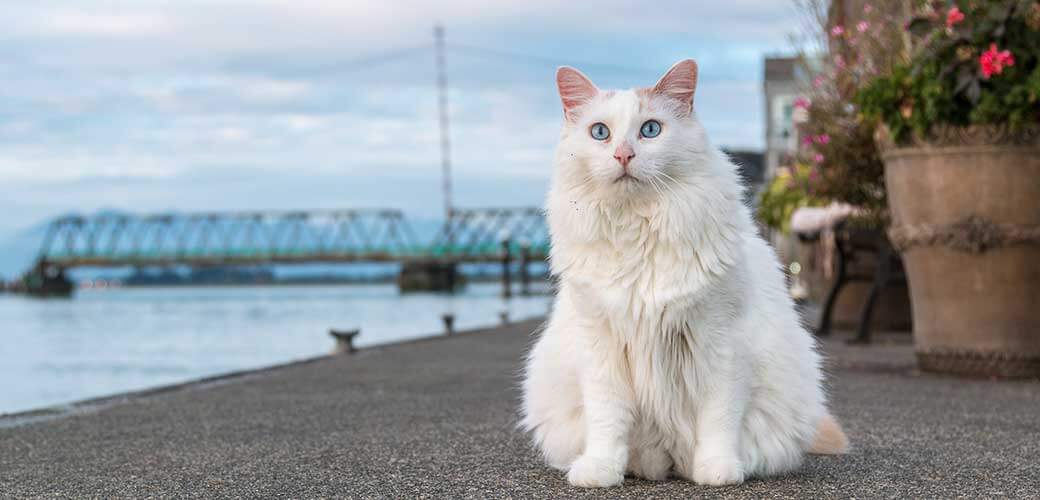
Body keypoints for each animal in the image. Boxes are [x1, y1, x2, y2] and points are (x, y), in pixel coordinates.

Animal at [520, 59, 844, 486]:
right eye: (600, 133)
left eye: (650, 130)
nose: (623, 155)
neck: (637, 230)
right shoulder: (601, 347)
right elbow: (607, 421)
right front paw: (599, 471)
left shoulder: (721, 343)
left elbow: (718, 420)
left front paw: (718, 470)